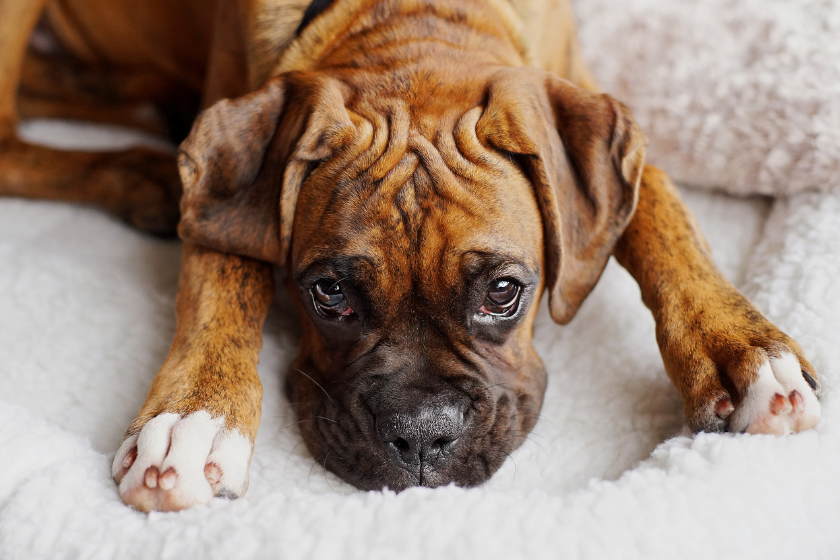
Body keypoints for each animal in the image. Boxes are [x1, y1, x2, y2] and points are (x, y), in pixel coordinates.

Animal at [0, 0, 820, 512]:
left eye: (504, 293)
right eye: (327, 293)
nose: (423, 435)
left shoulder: (597, 119)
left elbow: (663, 216)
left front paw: (743, 349)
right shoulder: (228, 179)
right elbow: (221, 277)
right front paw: (193, 418)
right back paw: (135, 172)